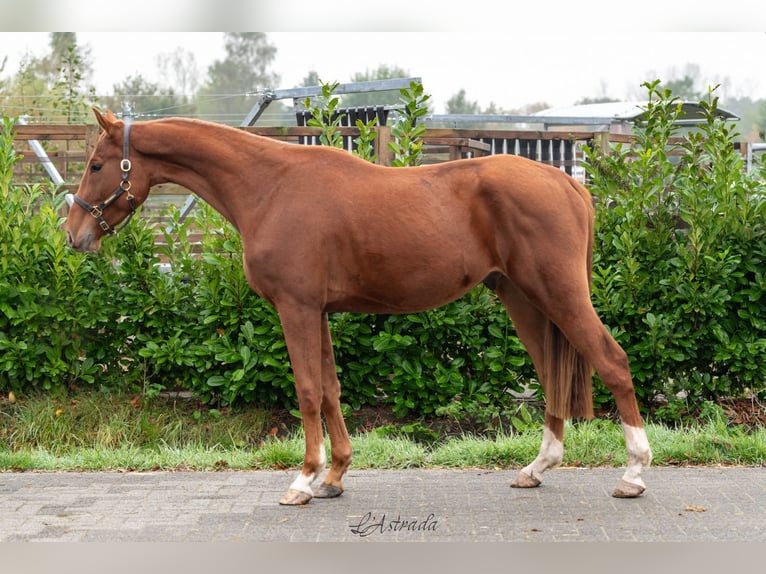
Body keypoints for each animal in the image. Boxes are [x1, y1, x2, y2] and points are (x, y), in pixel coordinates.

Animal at [67, 108, 656, 504]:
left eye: (96, 164)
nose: (74, 236)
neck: (268, 187)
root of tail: (568, 184)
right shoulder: (319, 311)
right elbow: (330, 388)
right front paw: (334, 476)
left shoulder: (296, 307)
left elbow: (307, 391)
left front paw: (303, 479)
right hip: (523, 297)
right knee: (552, 371)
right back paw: (538, 467)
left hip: (559, 293)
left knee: (612, 360)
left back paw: (634, 472)